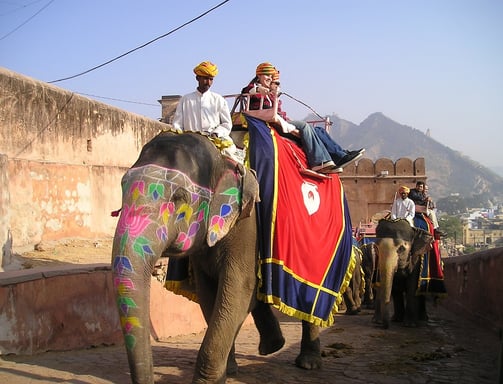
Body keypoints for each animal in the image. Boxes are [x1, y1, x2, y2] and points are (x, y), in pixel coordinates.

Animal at [110, 130, 322, 382]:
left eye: (179, 197)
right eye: (122, 187)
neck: (221, 159)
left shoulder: (247, 225)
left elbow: (238, 288)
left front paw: (209, 380)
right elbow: (210, 292)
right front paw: (228, 371)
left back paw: (308, 363)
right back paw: (273, 346)